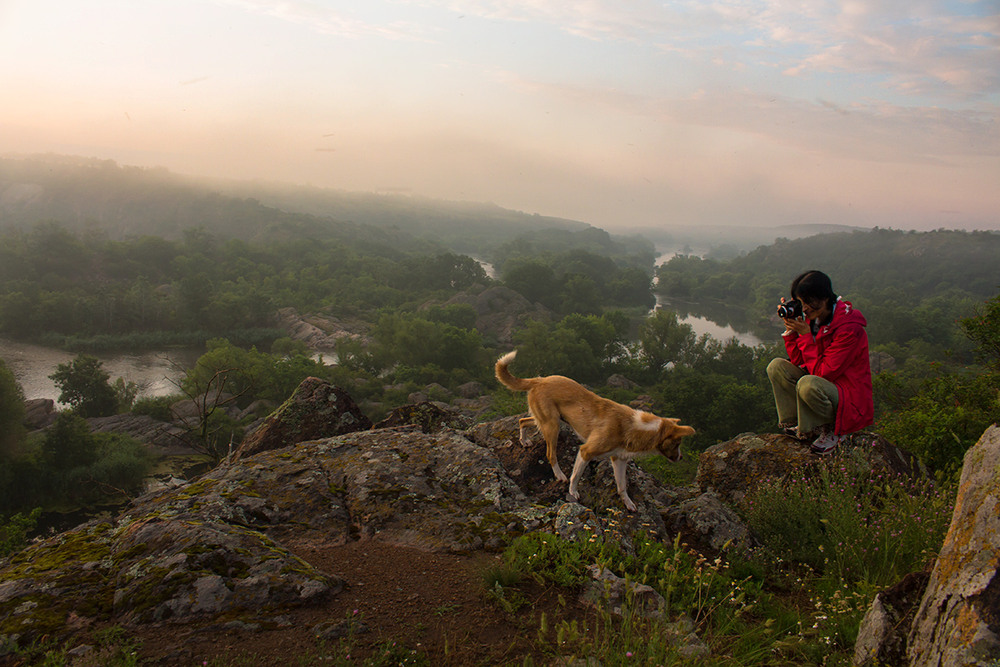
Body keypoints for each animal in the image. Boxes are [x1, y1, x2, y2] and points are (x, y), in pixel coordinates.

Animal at [494, 352, 696, 516]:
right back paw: (559, 475)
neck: (635, 426)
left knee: (522, 421)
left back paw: (524, 440)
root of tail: (540, 379)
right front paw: (573, 492)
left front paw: (628, 503)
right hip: (552, 426)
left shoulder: (619, 459)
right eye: (678, 443)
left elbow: (622, 486)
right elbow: (576, 476)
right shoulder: (586, 451)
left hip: (550, 420)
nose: (681, 457)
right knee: (550, 454)